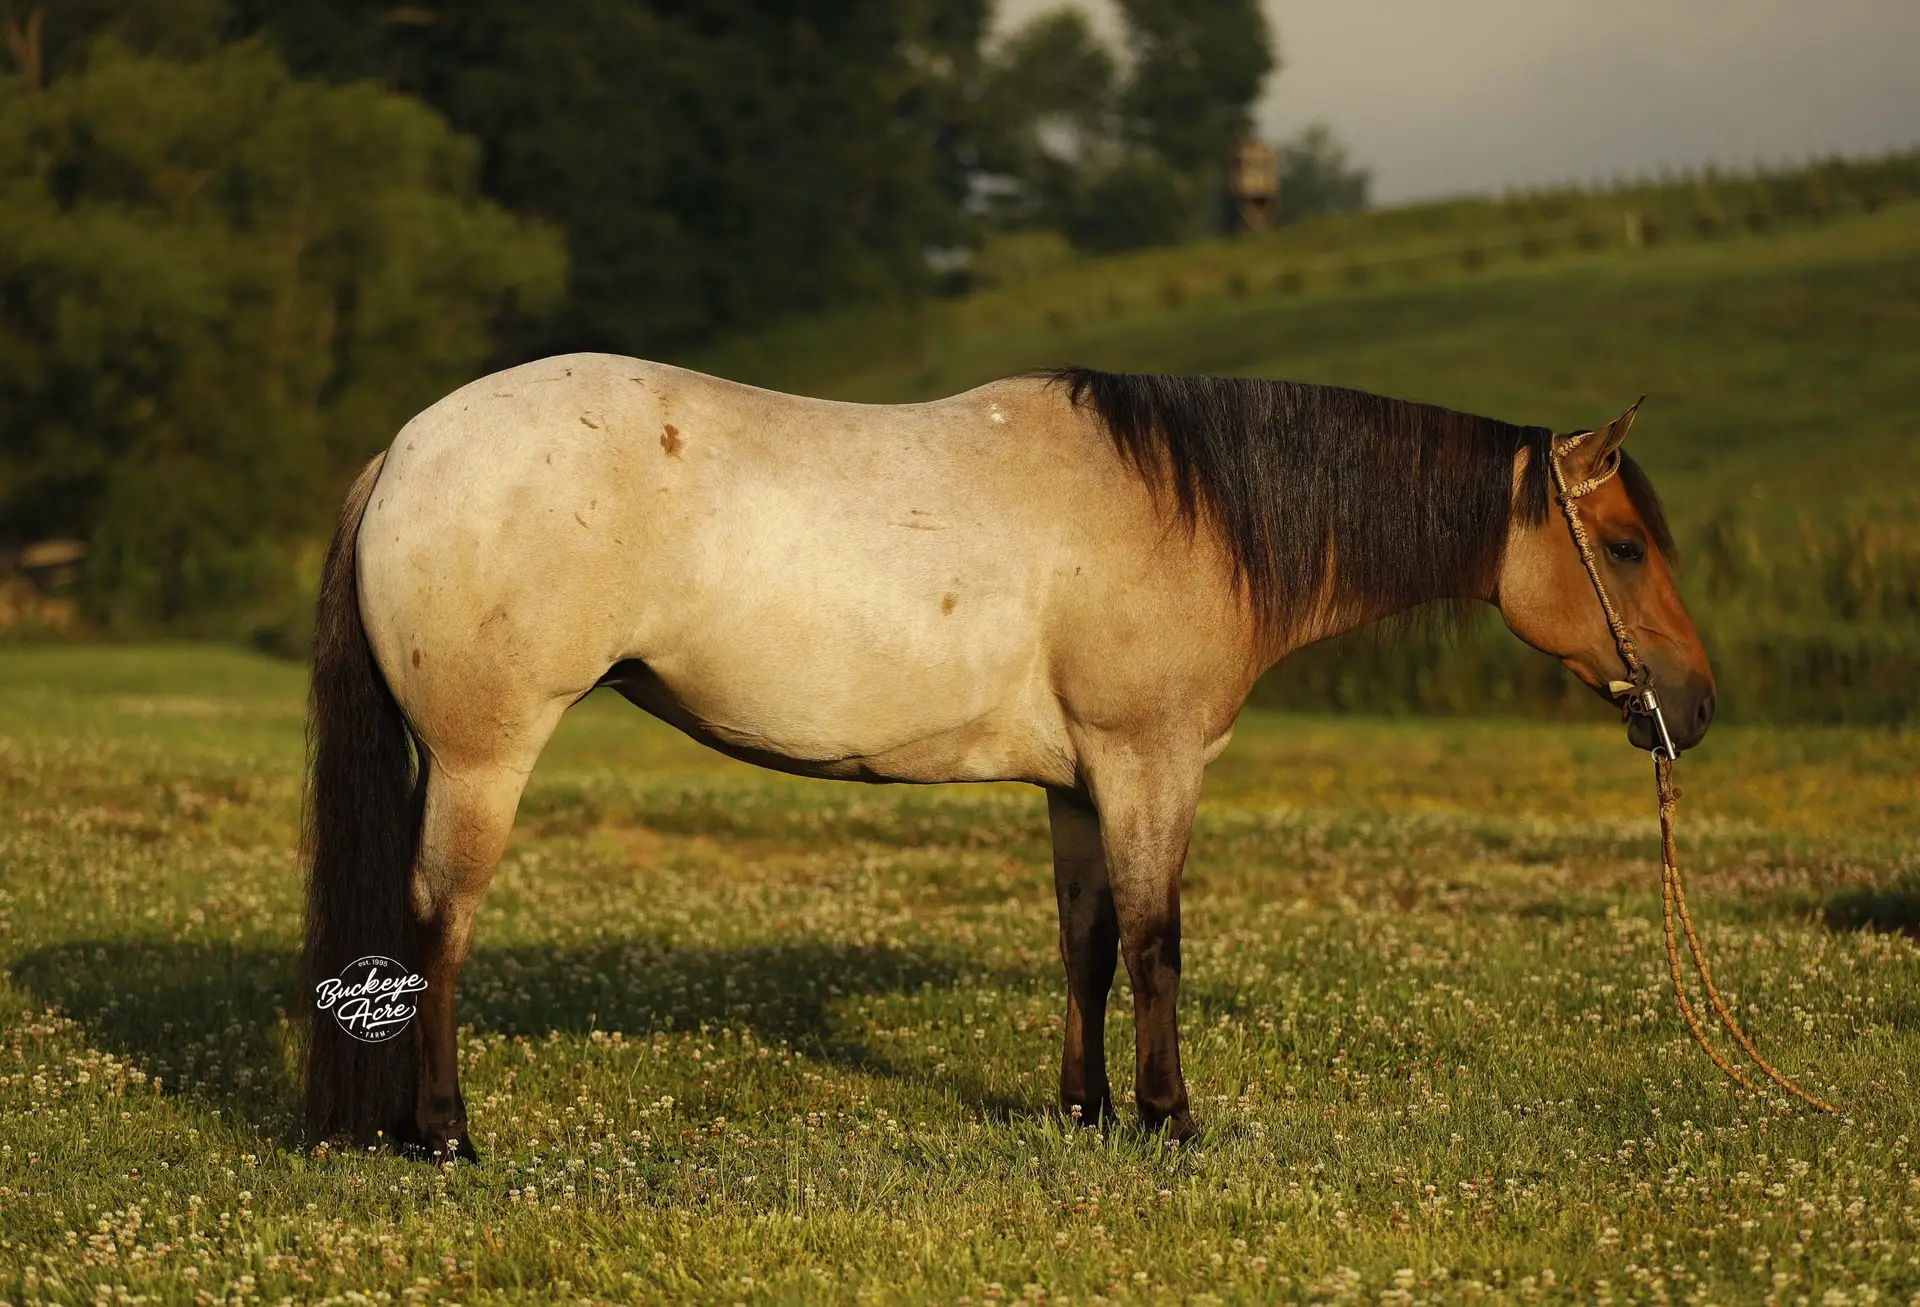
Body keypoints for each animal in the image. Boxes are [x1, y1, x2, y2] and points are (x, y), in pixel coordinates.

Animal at [301, 355, 1713, 1160]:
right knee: (436, 925)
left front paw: (1084, 1110)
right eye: (1627, 545)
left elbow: (1085, 945)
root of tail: (408, 448)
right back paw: (442, 1134)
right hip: (481, 759)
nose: (1691, 706)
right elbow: (1156, 940)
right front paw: (1170, 1118)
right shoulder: (1150, 766)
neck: (1187, 506)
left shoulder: (1079, 785)